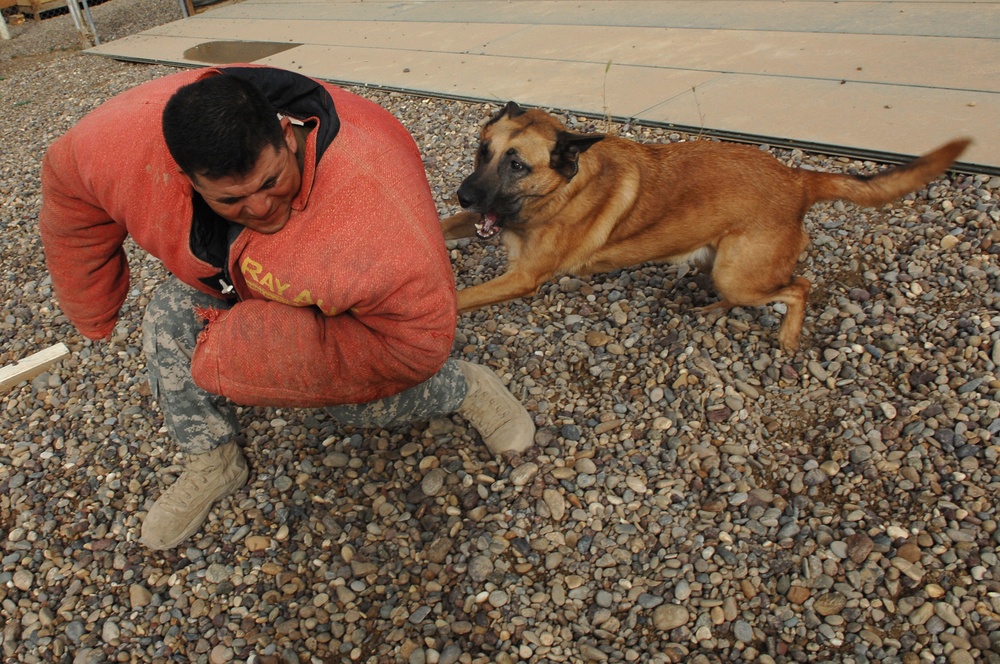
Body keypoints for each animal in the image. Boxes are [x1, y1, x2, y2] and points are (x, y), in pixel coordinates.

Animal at [444, 101, 968, 350]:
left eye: (517, 165)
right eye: (482, 151)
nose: (464, 194)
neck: (560, 189)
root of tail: (797, 178)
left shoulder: (524, 278)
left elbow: (460, 299)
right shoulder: (476, 221)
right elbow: (446, 226)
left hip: (739, 273)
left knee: (799, 286)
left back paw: (787, 335)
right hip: (721, 266)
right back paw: (713, 309)